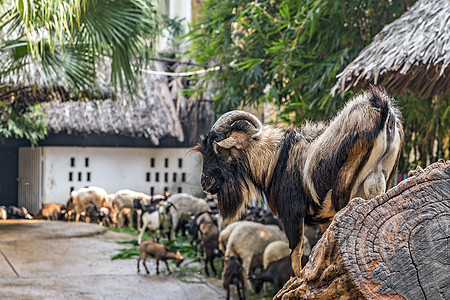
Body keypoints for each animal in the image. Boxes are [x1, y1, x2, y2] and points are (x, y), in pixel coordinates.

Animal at [194, 87, 404, 276]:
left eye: (219, 149)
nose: (205, 184)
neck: (275, 158)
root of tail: (383, 111)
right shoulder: (324, 218)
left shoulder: (292, 213)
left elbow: (295, 255)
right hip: (379, 181)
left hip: (344, 190)